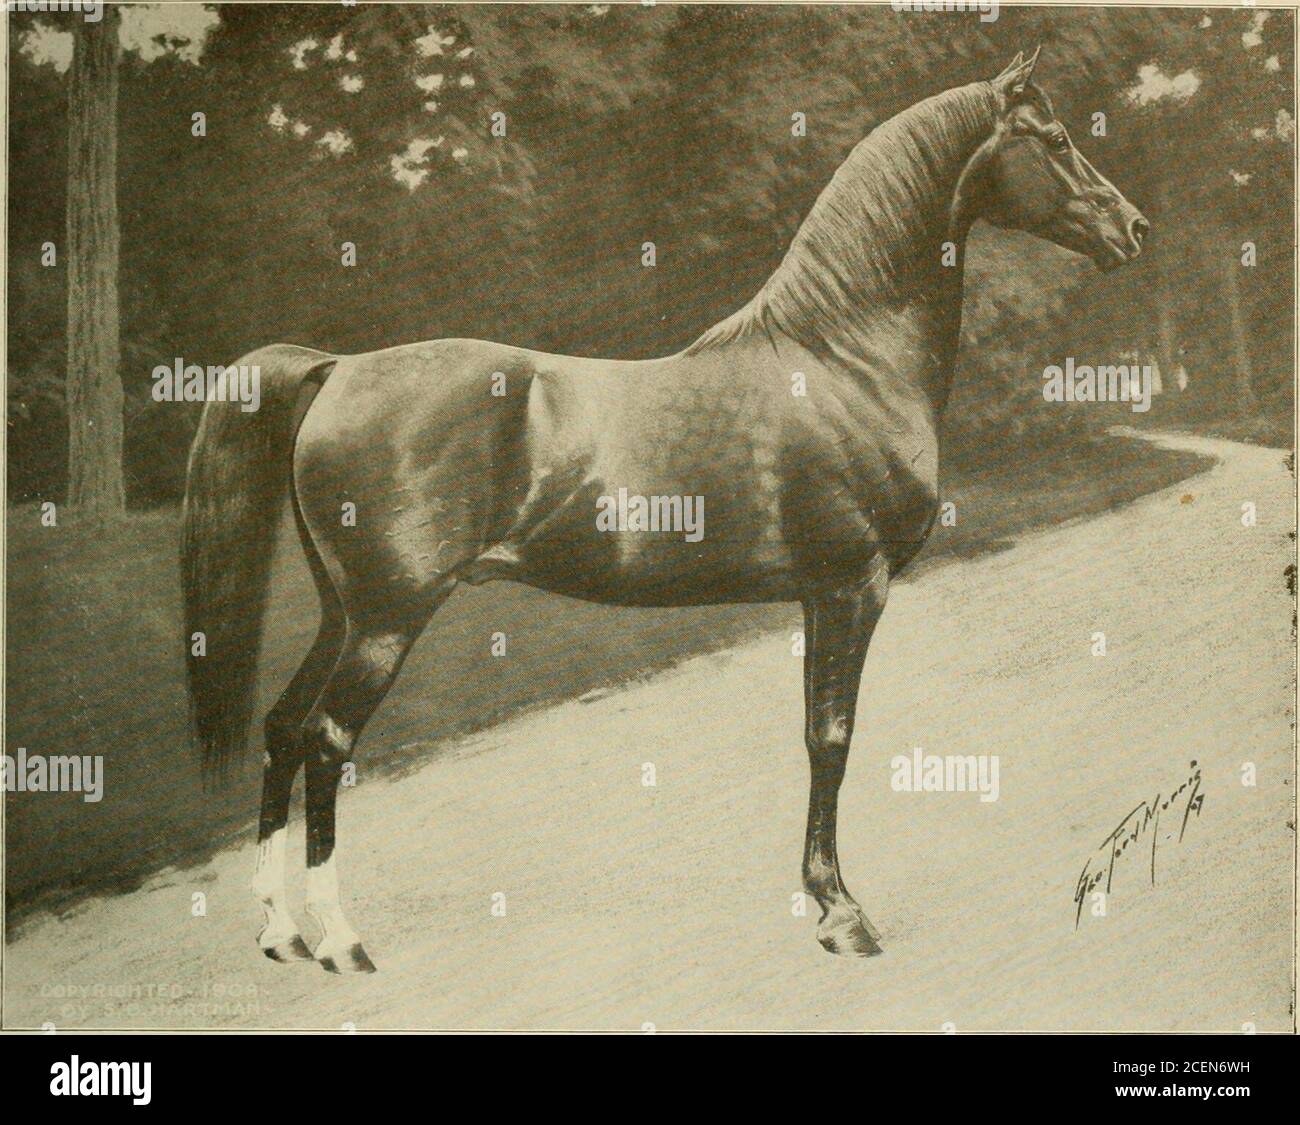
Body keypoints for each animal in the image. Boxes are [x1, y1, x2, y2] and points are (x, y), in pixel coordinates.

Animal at [182, 50, 1147, 972]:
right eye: (1056, 138)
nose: (1131, 227)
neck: (842, 356)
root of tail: (338, 367)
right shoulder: (851, 587)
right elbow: (830, 739)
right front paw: (841, 913)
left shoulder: (820, 595)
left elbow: (815, 736)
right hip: (387, 619)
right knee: (325, 741)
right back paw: (340, 937)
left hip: (343, 613)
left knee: (281, 727)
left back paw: (282, 930)